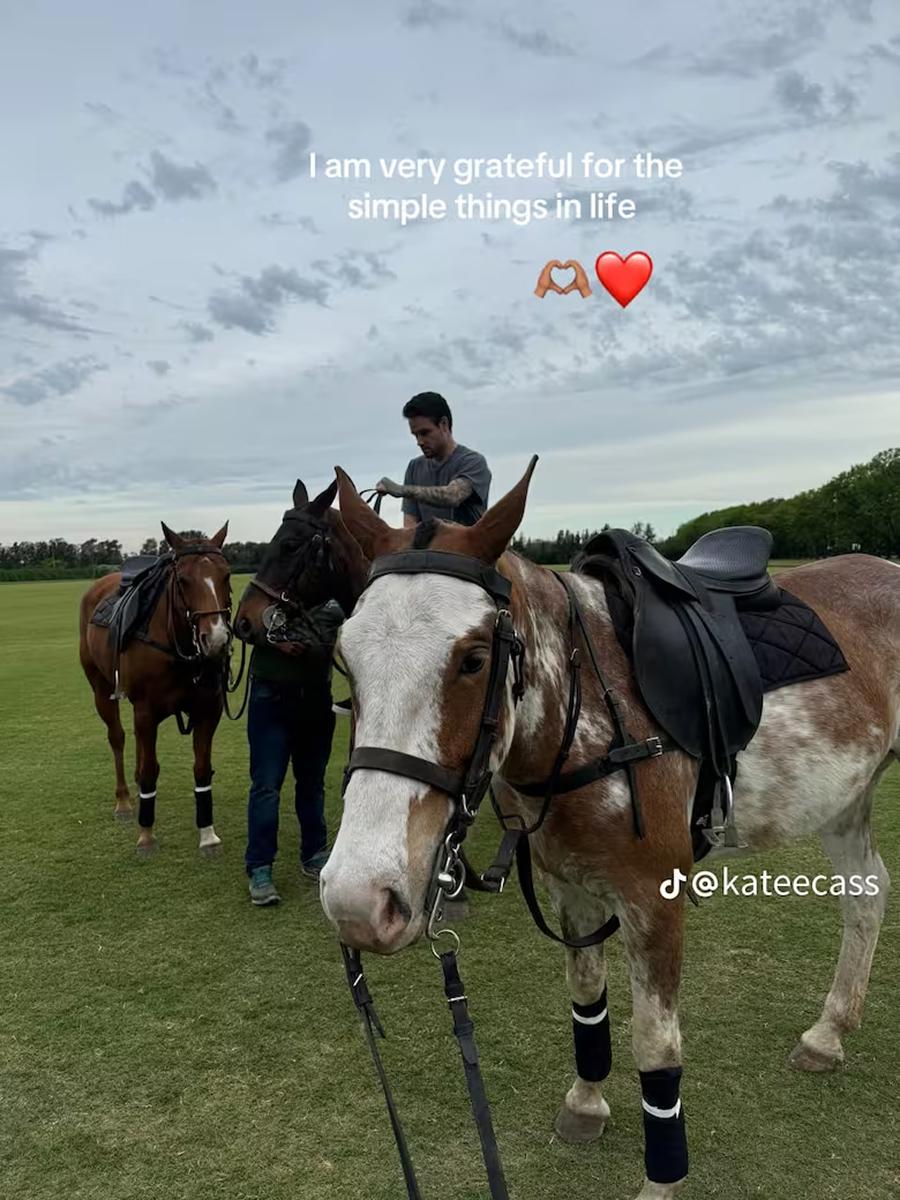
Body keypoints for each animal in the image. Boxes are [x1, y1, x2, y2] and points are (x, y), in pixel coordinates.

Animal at [79, 522, 233, 856]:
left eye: (226, 575)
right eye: (183, 581)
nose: (215, 640)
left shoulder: (208, 710)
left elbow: (202, 769)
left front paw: (207, 835)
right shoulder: (147, 710)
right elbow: (151, 769)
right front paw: (146, 835)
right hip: (101, 688)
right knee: (118, 737)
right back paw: (124, 802)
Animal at [320, 461, 900, 1200]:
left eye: (474, 658)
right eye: (345, 657)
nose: (357, 903)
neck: (584, 713)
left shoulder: (656, 896)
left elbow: (657, 1047)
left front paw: (661, 1180)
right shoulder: (572, 886)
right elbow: (586, 999)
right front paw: (586, 1103)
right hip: (845, 795)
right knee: (867, 891)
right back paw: (828, 1033)